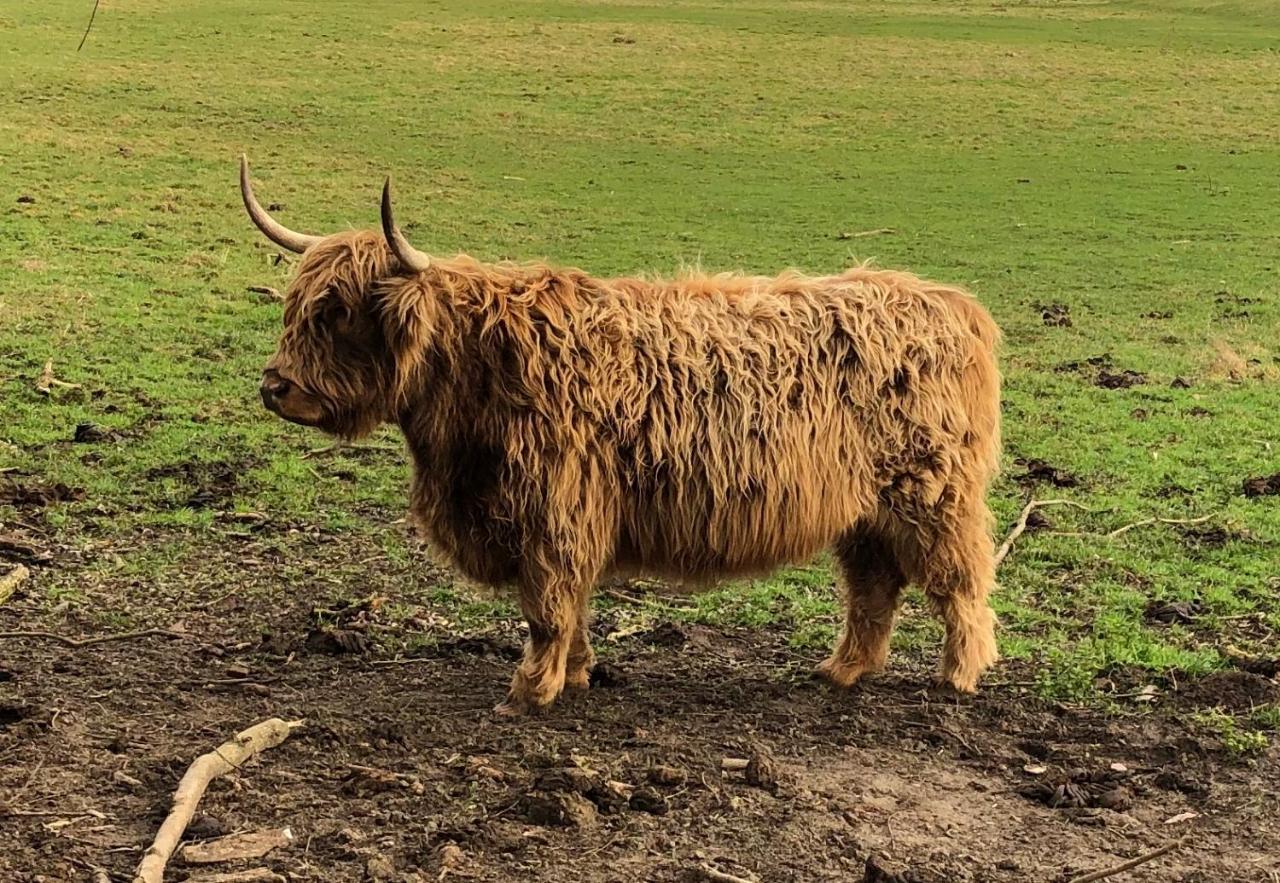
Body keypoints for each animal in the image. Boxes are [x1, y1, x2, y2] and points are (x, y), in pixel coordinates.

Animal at [240, 154, 998, 711]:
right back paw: (842, 669)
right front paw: (574, 674)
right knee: (874, 587)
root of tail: (952, 304)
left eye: (337, 311)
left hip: (932, 496)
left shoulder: (553, 513)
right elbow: (570, 606)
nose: (274, 387)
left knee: (959, 582)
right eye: (296, 304)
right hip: (866, 512)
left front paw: (529, 690)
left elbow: (547, 604)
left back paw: (957, 675)